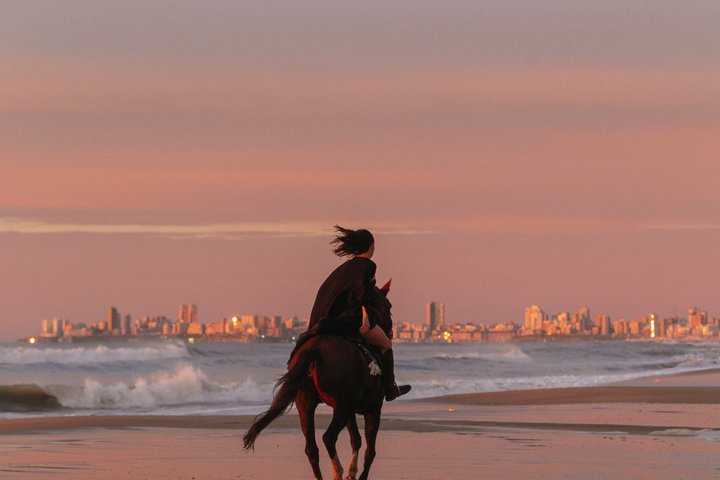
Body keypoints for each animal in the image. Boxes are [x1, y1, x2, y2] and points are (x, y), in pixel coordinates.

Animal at [243, 282, 394, 480]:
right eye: (389, 306)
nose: (390, 330)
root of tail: (315, 349)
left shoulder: (351, 411)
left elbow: (356, 440)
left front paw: (352, 471)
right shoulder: (373, 409)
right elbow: (370, 450)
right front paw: (357, 474)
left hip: (306, 405)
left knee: (311, 449)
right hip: (342, 407)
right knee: (328, 438)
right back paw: (337, 470)